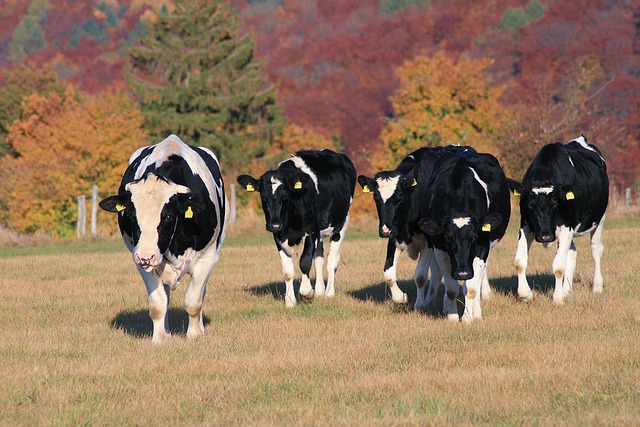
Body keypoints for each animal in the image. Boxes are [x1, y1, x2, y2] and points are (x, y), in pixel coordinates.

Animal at [100, 134, 228, 343]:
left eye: (168, 216)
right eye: (131, 216)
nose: (146, 256)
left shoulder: (207, 258)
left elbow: (194, 300)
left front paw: (194, 336)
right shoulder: (141, 263)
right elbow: (158, 303)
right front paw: (159, 339)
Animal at [237, 149, 356, 307]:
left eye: (285, 196)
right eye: (263, 197)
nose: (275, 224)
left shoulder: (311, 232)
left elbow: (304, 263)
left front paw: (308, 293)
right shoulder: (278, 237)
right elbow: (288, 271)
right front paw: (290, 301)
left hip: (341, 224)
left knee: (332, 260)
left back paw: (329, 293)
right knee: (319, 258)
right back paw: (319, 291)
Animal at [357, 145, 475, 310]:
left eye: (399, 197)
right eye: (376, 198)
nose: (385, 230)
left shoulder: (429, 241)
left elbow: (420, 275)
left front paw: (419, 305)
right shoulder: (395, 237)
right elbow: (388, 274)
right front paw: (402, 298)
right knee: (437, 272)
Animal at [418, 149, 511, 322]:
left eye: (473, 238)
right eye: (448, 239)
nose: (462, 273)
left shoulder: (482, 247)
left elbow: (472, 288)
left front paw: (468, 319)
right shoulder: (440, 249)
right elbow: (452, 289)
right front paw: (453, 317)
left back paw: (476, 311)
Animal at [507, 135, 608, 304]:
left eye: (554, 204)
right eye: (530, 206)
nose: (545, 236)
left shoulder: (566, 226)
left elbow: (559, 266)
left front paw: (558, 298)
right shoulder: (526, 225)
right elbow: (520, 262)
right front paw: (526, 294)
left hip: (599, 219)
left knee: (596, 250)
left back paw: (597, 287)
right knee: (572, 253)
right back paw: (567, 290)